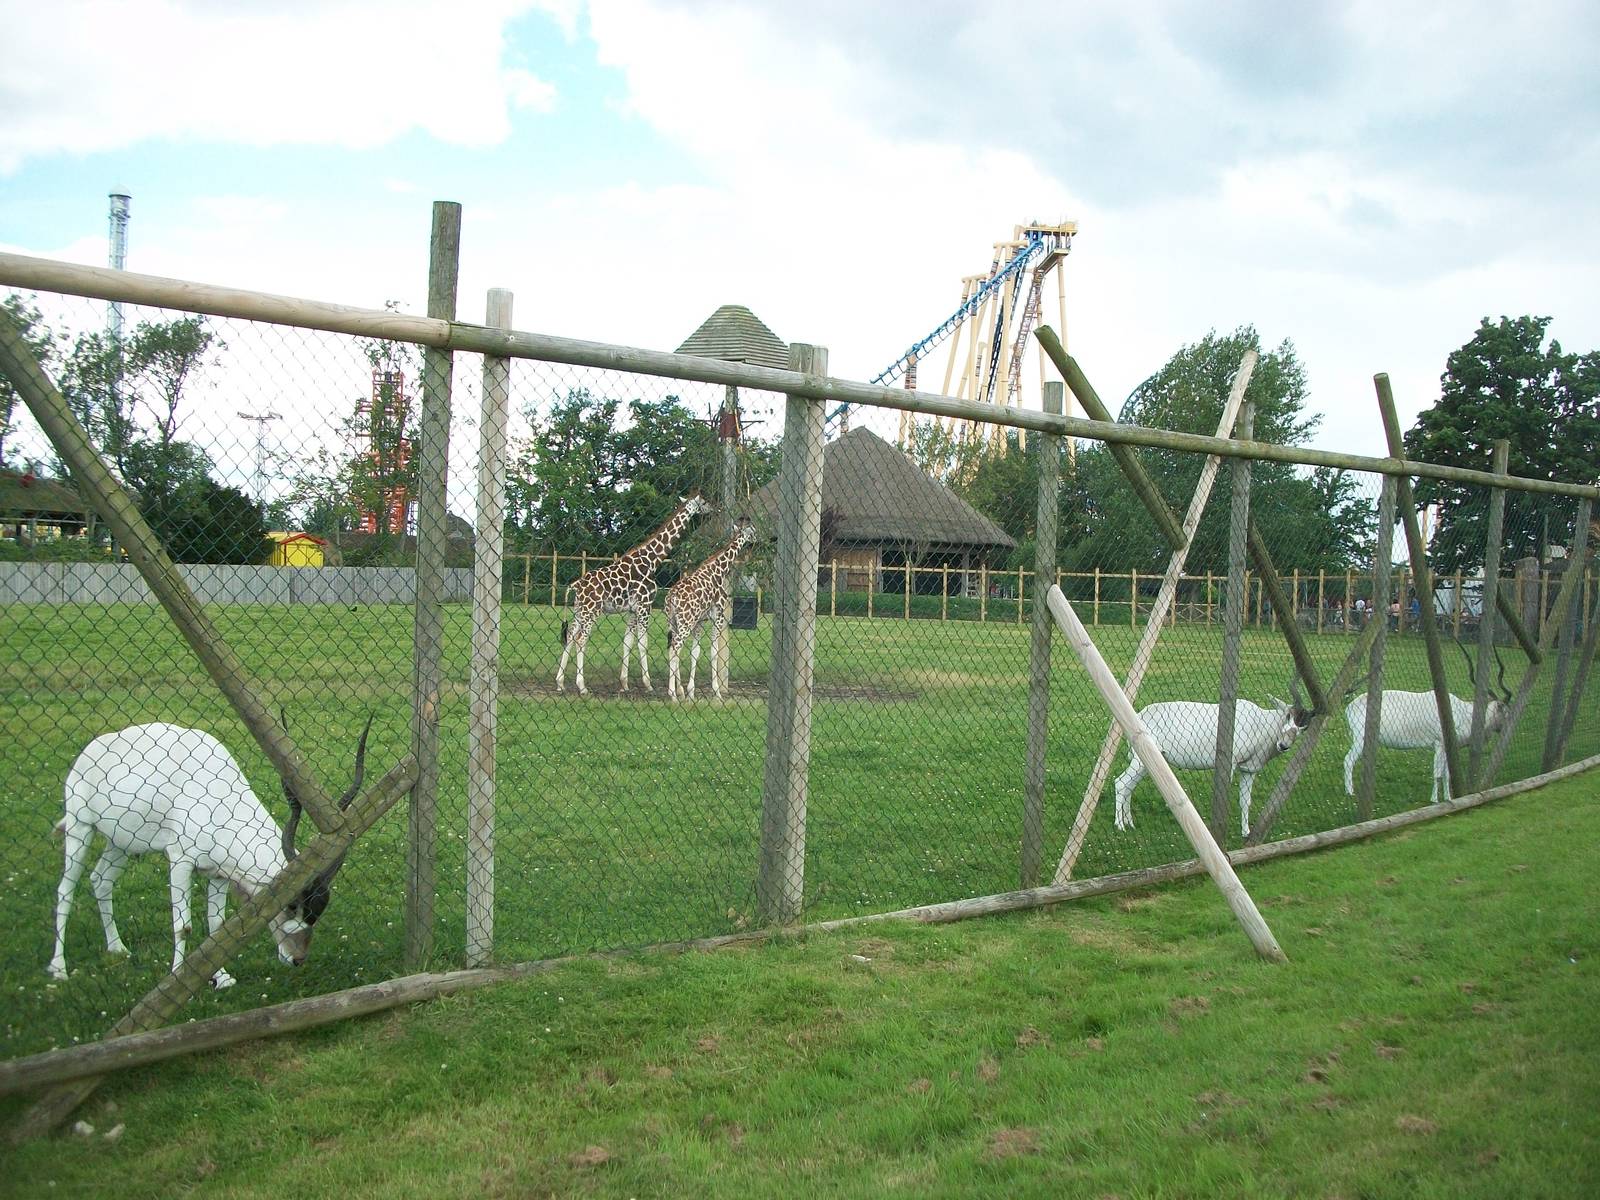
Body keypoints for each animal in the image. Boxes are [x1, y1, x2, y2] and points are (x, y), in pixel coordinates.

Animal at [556, 493, 713, 695]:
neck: (652, 560)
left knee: (569, 637)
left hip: (579, 610)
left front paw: (624, 684)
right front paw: (648, 684)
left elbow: (627, 642)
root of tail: (575, 585)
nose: (713, 509)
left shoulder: (632, 609)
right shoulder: (645, 605)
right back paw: (582, 687)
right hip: (592, 611)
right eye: (704, 502)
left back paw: (560, 683)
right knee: (580, 640)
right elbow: (643, 642)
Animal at [666, 519, 761, 701]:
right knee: (674, 649)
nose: (756, 539)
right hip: (685, 623)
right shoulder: (718, 615)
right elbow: (714, 652)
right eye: (752, 531)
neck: (719, 569)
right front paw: (717, 693)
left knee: (673, 649)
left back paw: (678, 692)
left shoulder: (700, 621)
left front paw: (691, 693)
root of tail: (671, 597)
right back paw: (672, 694)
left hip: (673, 622)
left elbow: (695, 653)